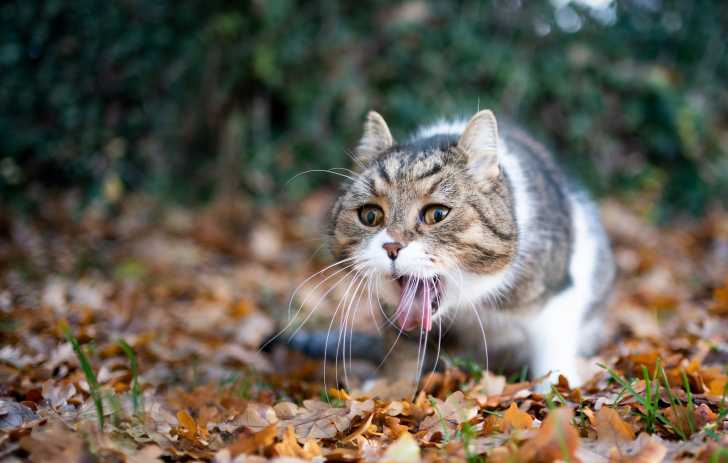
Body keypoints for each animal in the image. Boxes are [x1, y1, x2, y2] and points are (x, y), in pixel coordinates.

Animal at [324, 109, 616, 388]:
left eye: (437, 214)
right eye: (370, 215)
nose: (392, 246)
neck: (467, 302)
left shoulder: (556, 291)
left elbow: (551, 344)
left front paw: (557, 388)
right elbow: (402, 349)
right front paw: (389, 387)